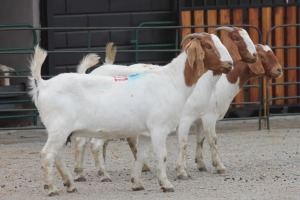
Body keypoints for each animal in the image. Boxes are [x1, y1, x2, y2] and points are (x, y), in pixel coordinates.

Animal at [29, 34, 233, 195]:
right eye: (209, 46)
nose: (230, 64)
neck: (171, 81)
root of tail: (43, 84)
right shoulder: (159, 128)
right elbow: (162, 155)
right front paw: (166, 184)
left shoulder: (145, 133)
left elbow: (140, 156)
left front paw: (137, 184)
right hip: (59, 128)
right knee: (47, 154)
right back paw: (52, 188)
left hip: (62, 132)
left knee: (57, 155)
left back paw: (70, 185)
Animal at [175, 43, 282, 178]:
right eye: (261, 56)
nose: (279, 70)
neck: (219, 86)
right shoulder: (209, 117)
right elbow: (212, 140)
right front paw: (219, 166)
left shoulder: (199, 119)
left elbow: (200, 140)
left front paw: (200, 164)